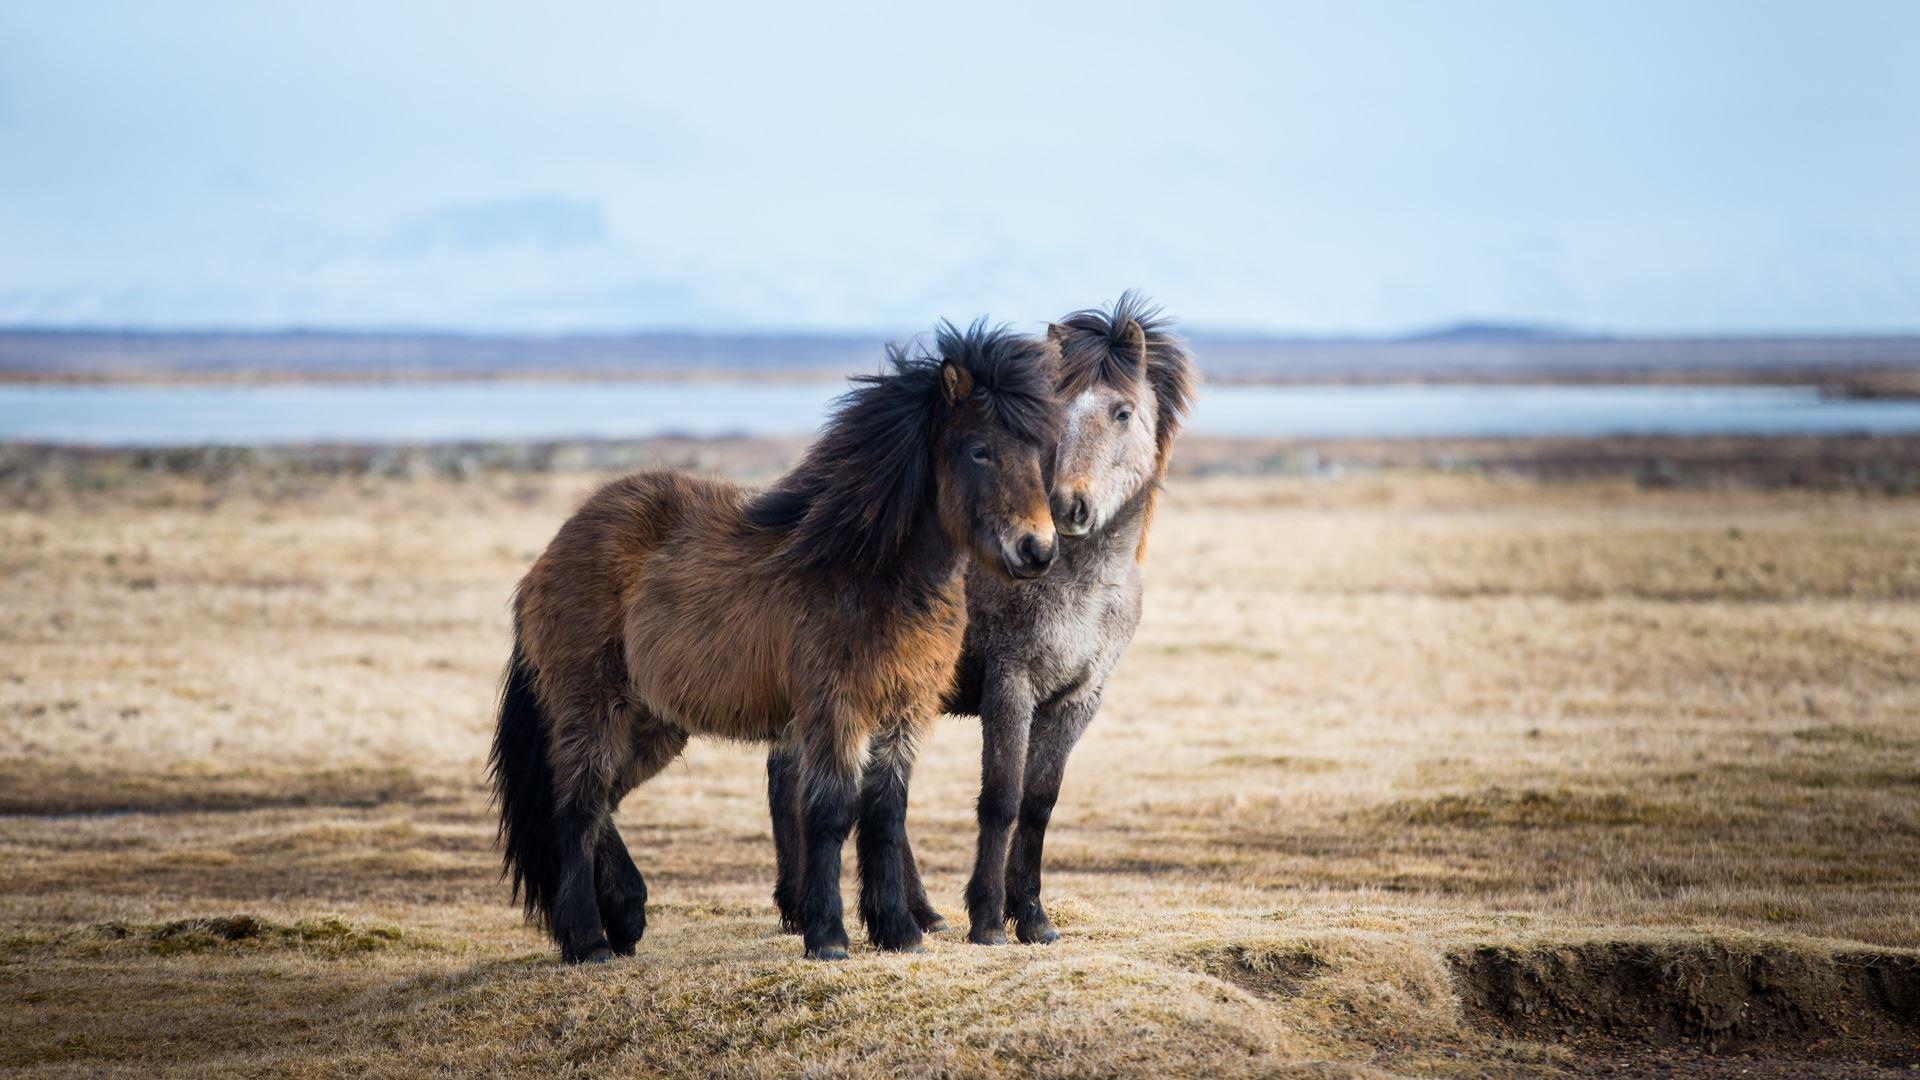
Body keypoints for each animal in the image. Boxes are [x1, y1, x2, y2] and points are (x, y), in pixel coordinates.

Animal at [491, 320, 1063, 963]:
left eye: (1037, 451)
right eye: (979, 448)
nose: (1037, 550)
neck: (868, 570)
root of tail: (548, 557)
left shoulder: (904, 713)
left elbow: (886, 817)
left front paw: (897, 931)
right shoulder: (836, 710)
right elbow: (832, 814)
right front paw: (829, 937)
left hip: (654, 721)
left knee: (599, 804)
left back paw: (627, 915)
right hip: (593, 706)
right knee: (577, 809)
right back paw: (588, 940)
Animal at [768, 292, 1196, 946]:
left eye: (1123, 412)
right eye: (1054, 413)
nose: (1067, 506)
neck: (1078, 583)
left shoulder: (1080, 698)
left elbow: (1039, 802)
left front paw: (1035, 918)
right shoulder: (1010, 685)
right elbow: (1001, 797)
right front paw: (991, 918)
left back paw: (915, 912)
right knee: (792, 775)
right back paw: (804, 909)